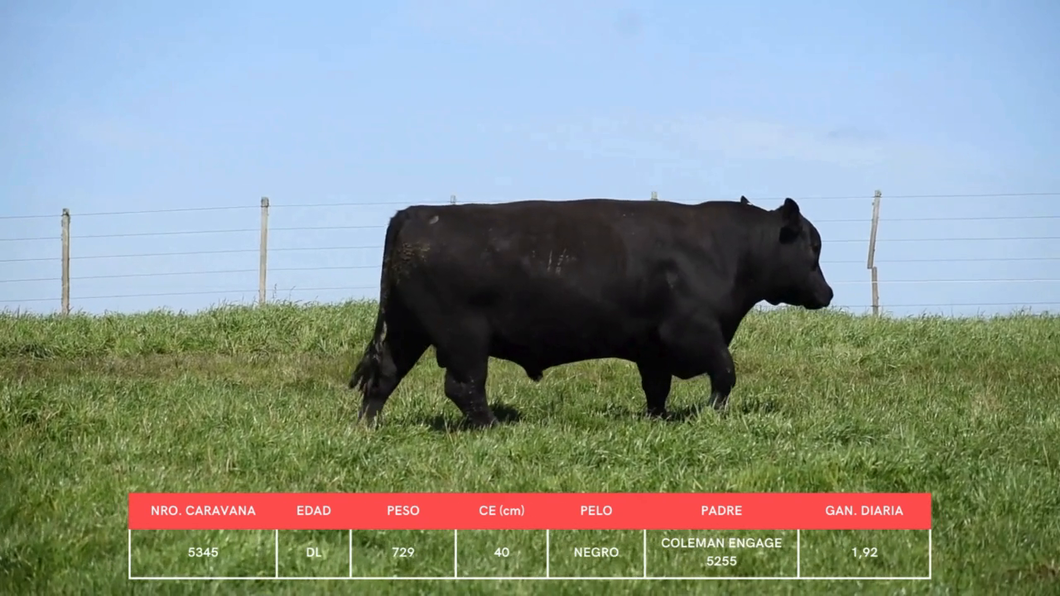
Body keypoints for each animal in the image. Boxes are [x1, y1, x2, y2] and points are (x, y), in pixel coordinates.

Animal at [351, 196, 831, 426]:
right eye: (813, 247)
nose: (827, 293)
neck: (726, 250)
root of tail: (417, 214)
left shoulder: (653, 349)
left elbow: (657, 389)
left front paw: (658, 420)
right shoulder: (695, 330)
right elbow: (725, 373)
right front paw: (712, 413)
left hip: (406, 329)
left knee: (384, 376)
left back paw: (367, 426)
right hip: (462, 337)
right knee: (464, 386)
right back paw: (493, 426)